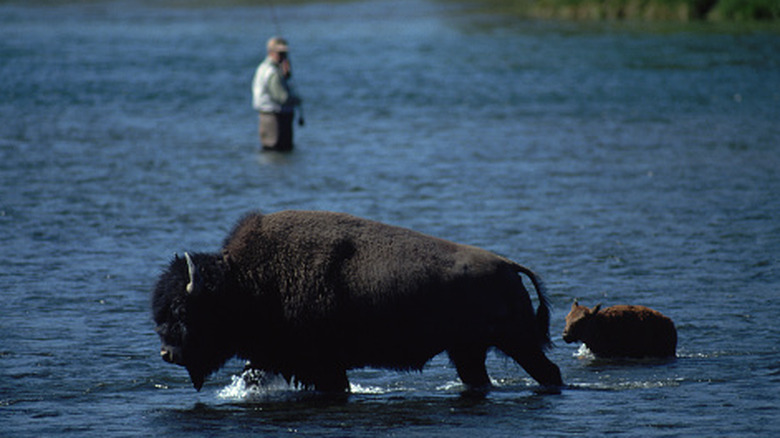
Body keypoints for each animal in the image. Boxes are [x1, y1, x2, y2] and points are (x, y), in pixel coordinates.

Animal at [152, 210, 563, 394]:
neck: (245, 281)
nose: (167, 353)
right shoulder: (276, 359)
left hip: (517, 341)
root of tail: (508, 265)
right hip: (468, 351)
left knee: (549, 371)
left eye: (183, 311)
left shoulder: (324, 364)